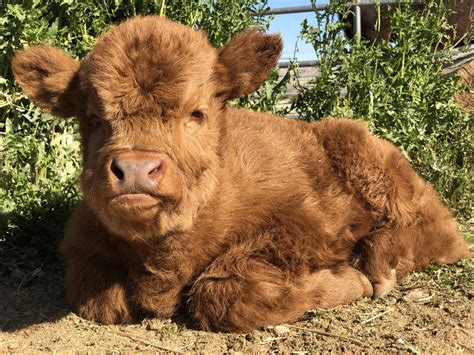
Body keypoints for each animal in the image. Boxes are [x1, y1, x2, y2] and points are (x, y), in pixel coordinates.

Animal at [12, 16, 470, 334]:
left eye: (197, 112)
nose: (137, 169)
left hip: (371, 161)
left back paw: (378, 265)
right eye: (93, 119)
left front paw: (349, 280)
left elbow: (222, 291)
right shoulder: (81, 247)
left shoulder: (307, 228)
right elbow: (100, 299)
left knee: (437, 230)